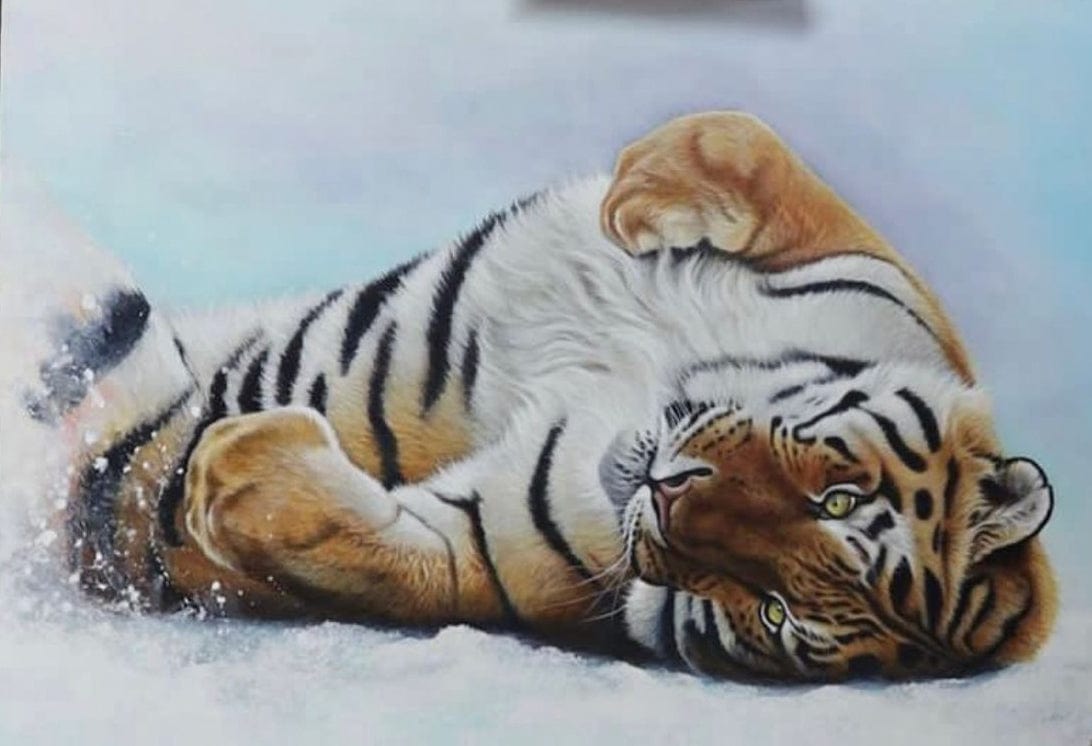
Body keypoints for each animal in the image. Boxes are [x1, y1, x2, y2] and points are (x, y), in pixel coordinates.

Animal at [23, 111, 1056, 681]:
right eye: (839, 501)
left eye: (773, 613)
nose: (665, 494)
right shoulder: (866, 269)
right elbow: (745, 143)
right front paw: (640, 197)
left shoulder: (473, 551)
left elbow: (379, 552)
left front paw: (229, 467)